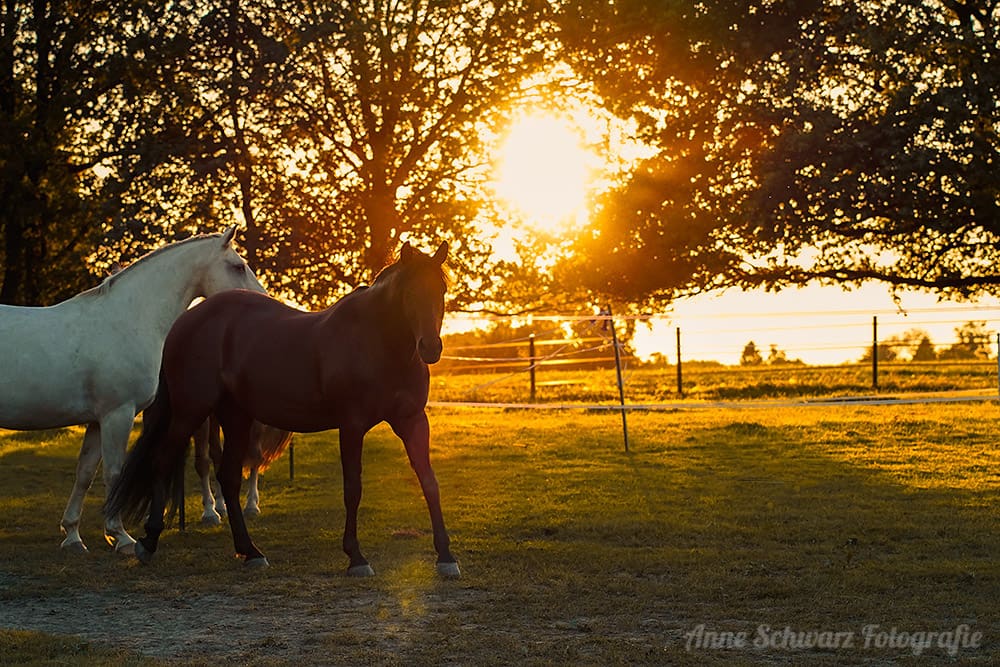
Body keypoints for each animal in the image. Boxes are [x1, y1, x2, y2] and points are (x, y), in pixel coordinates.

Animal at [0, 227, 264, 554]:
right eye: (238, 267)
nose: (263, 301)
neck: (128, 320)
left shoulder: (97, 421)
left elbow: (85, 474)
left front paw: (72, 535)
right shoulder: (118, 414)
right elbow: (114, 473)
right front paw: (120, 536)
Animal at [106, 241, 459, 577]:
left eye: (441, 291)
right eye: (410, 293)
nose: (431, 348)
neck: (378, 343)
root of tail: (187, 320)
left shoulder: (412, 421)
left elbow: (430, 483)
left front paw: (446, 557)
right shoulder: (352, 425)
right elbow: (352, 488)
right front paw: (356, 558)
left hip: (236, 417)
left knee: (229, 477)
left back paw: (250, 552)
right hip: (190, 412)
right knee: (163, 460)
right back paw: (149, 541)